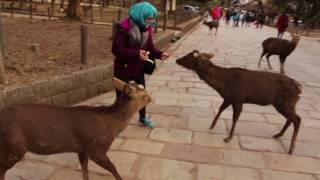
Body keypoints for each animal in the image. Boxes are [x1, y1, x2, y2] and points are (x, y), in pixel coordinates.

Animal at [0, 77, 151, 180]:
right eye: (144, 95)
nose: (150, 98)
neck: (113, 128)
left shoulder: (82, 149)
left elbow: (85, 171)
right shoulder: (95, 149)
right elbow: (113, 168)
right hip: (15, 145)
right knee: (1, 168)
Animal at [176, 50, 304, 154]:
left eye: (188, 58)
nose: (177, 60)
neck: (222, 85)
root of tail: (299, 89)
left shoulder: (238, 99)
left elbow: (235, 118)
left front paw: (228, 138)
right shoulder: (228, 98)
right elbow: (220, 110)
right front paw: (212, 126)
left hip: (284, 103)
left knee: (297, 119)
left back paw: (291, 149)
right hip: (287, 104)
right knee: (291, 119)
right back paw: (278, 135)